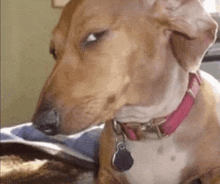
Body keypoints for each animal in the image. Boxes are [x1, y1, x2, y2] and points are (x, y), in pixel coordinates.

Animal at [31, 0, 219, 183]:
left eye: (94, 36)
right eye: (53, 51)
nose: (41, 122)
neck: (148, 129)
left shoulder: (214, 171)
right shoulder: (105, 174)